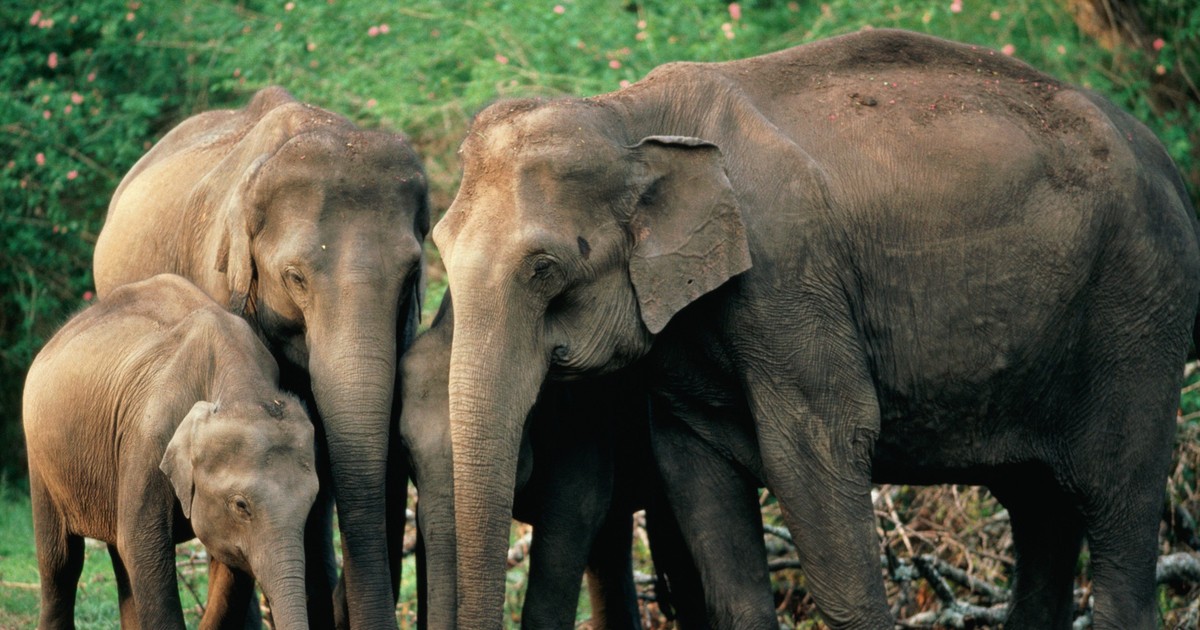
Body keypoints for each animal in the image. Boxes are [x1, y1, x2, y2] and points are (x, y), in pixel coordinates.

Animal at [22, 274, 318, 630]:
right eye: (241, 505)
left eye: (311, 503)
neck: (241, 388)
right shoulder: (146, 438)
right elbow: (144, 547)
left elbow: (230, 573)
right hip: (41, 458)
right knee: (62, 563)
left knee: (119, 557)